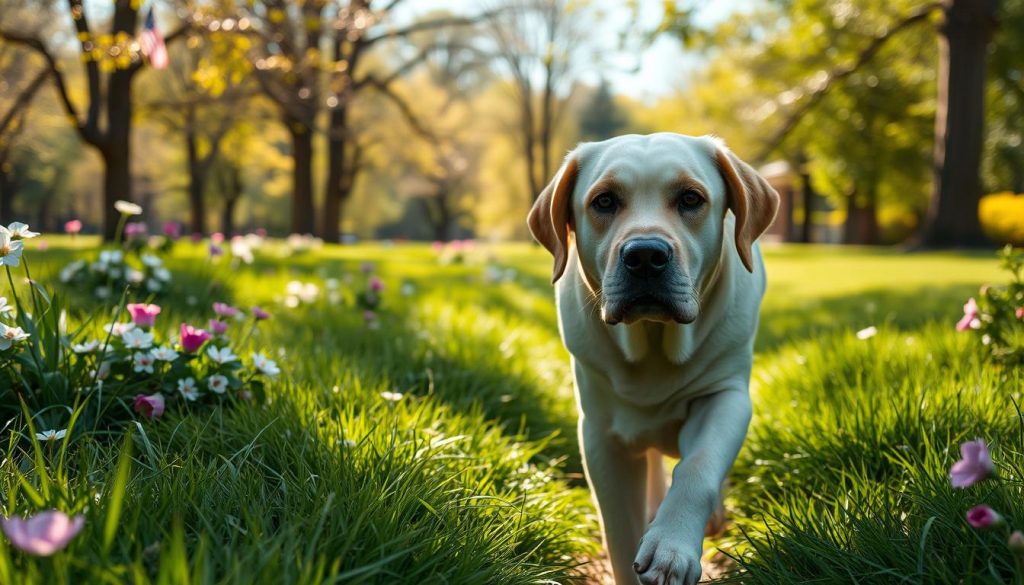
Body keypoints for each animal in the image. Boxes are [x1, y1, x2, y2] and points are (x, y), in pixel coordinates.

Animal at [528, 133, 774, 585]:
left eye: (691, 198)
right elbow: (620, 532)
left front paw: (671, 543)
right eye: (604, 201)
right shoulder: (601, 435)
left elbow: (698, 466)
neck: (655, 343)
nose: (644, 255)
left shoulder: (726, 395)